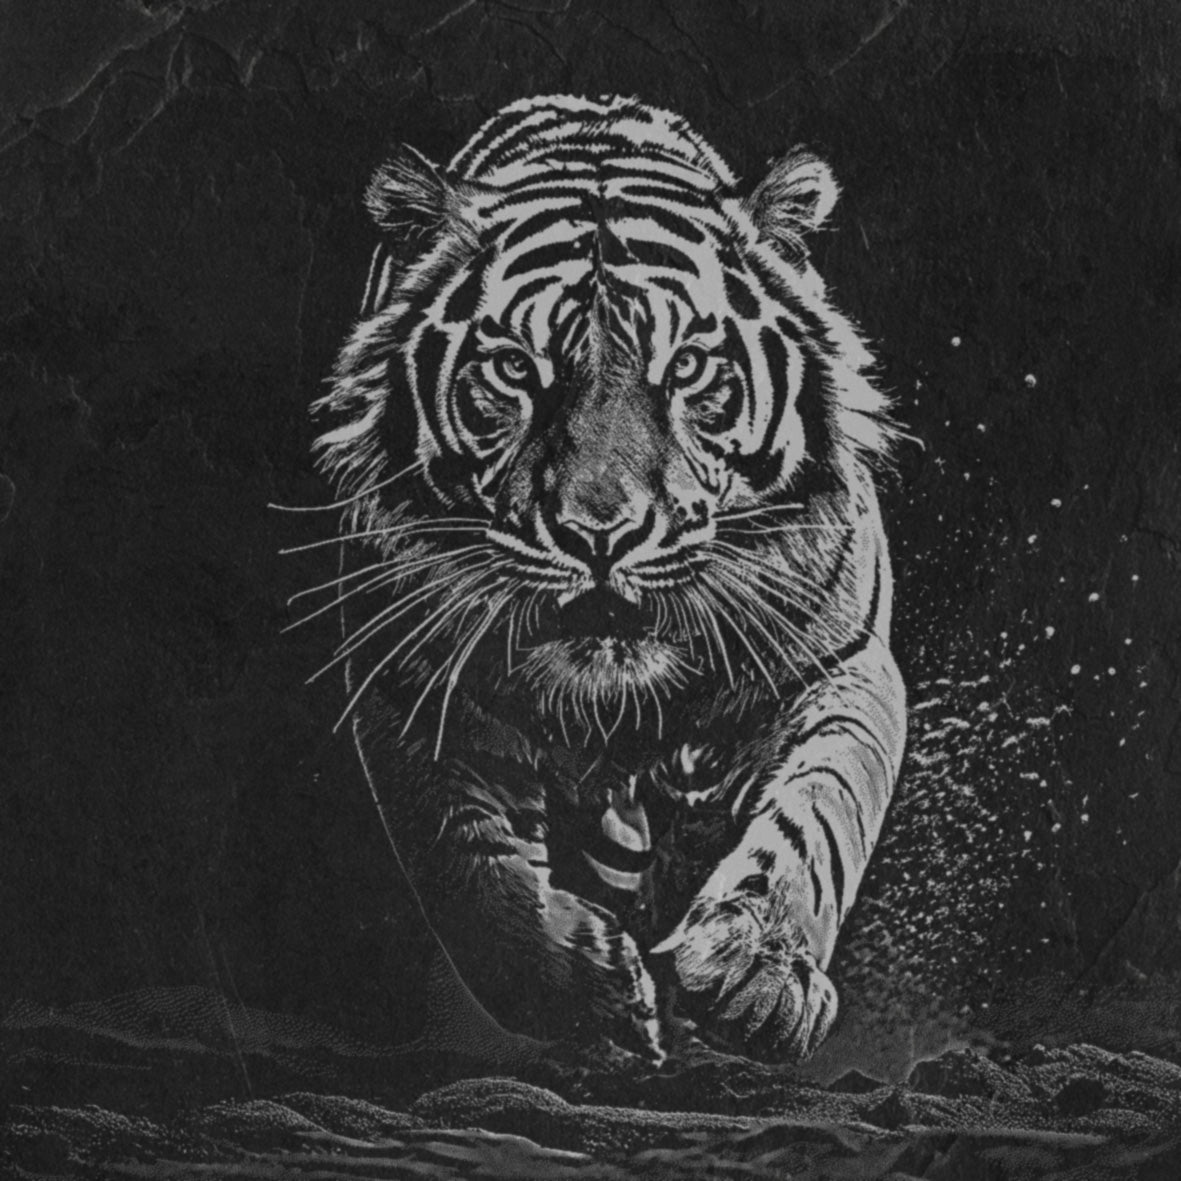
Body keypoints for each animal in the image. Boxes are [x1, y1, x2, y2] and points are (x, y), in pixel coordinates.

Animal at [308, 94, 906, 1064]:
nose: (601, 534)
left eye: (689, 367)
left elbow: (819, 809)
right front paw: (591, 1000)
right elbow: (471, 874)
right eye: (515, 369)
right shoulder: (409, 688)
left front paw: (755, 976)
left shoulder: (843, 662)